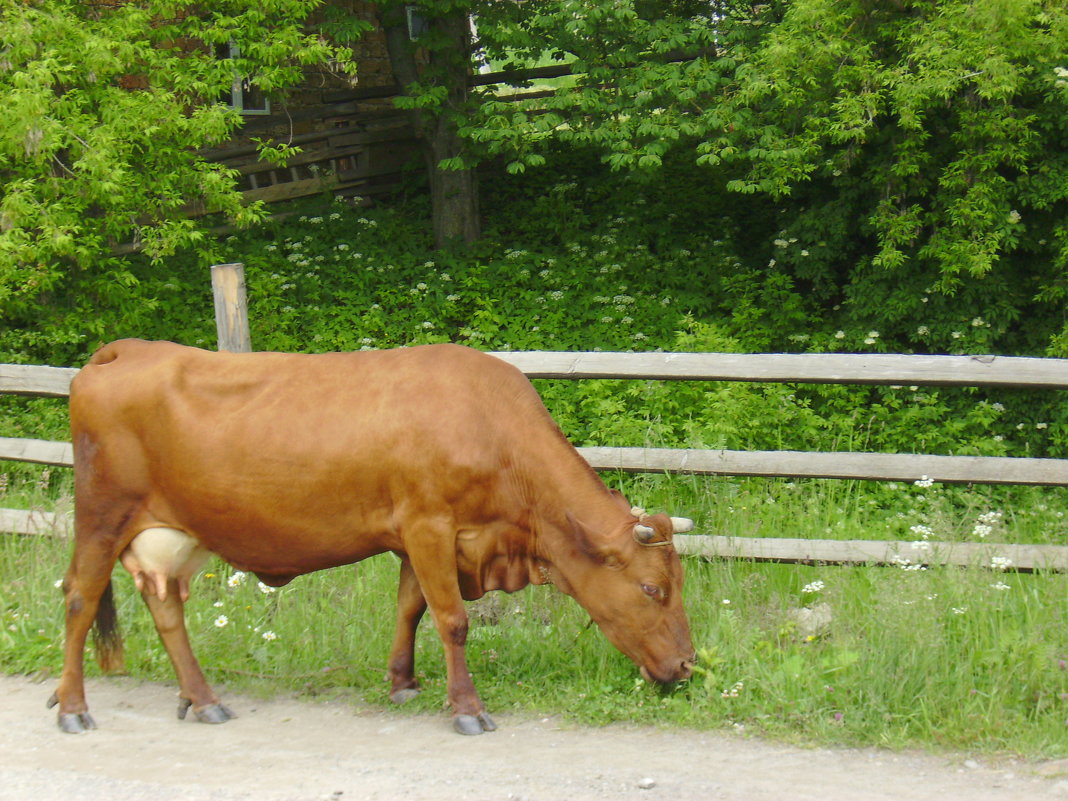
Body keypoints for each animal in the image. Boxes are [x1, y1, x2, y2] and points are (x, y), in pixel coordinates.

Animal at [50, 339, 696, 734]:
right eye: (652, 589)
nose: (688, 666)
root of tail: (128, 349)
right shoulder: (429, 524)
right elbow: (452, 620)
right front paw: (467, 708)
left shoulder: (418, 536)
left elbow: (410, 607)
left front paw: (403, 682)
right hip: (103, 516)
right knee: (80, 598)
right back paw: (74, 706)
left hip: (173, 534)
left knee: (166, 608)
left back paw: (202, 698)